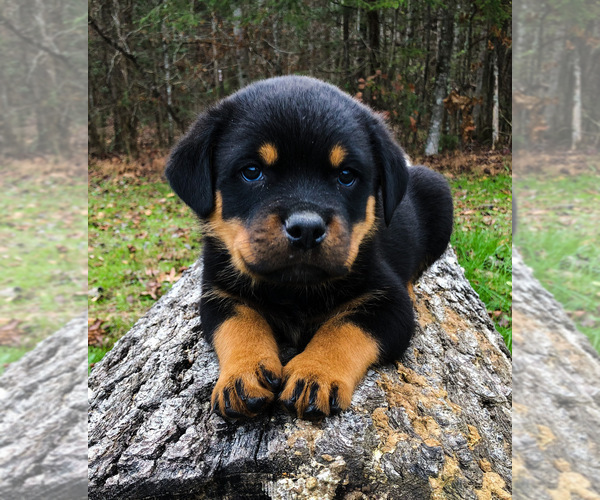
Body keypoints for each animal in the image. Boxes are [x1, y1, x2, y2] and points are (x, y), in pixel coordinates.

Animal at [166, 76, 452, 420]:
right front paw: (243, 374)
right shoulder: (217, 293)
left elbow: (344, 327)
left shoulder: (390, 304)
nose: (306, 229)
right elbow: (239, 323)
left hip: (439, 194)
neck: (294, 290)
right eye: (252, 171)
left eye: (346, 175)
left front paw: (315, 373)